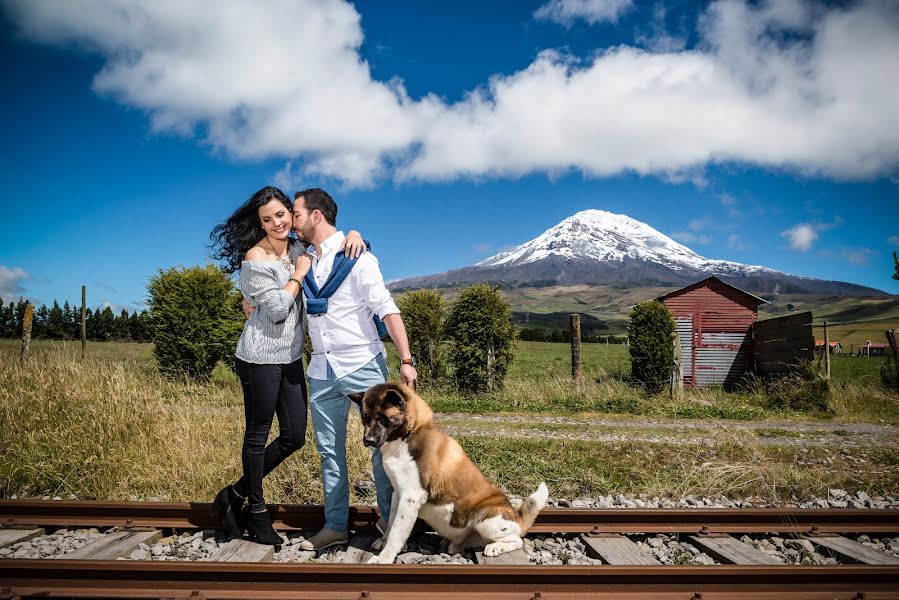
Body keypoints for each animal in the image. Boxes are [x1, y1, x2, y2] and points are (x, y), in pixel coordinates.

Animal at [350, 382, 548, 564]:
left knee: (517, 539)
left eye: (383, 419)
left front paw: (383, 558)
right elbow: (391, 523)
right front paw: (383, 542)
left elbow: (396, 533)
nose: (368, 440)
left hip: (486, 520)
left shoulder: (411, 497)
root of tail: (515, 517)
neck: (410, 434)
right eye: (365, 418)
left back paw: (496, 547)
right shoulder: (397, 494)